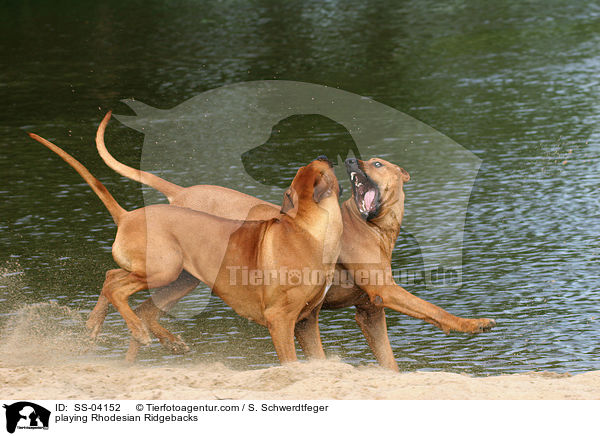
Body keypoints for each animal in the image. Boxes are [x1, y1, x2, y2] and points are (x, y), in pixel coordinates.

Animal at [28, 112, 344, 364]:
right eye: (320, 168)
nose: (324, 155)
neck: (308, 230)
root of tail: (128, 216)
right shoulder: (280, 320)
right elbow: (290, 362)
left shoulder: (306, 321)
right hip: (164, 270)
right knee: (115, 288)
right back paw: (137, 332)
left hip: (178, 277)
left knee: (121, 286)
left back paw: (139, 337)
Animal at [95, 123, 496, 372]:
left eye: (378, 162)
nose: (351, 159)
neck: (370, 226)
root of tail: (179, 193)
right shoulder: (386, 291)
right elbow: (434, 310)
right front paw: (473, 324)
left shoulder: (369, 311)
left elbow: (390, 362)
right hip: (171, 271)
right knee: (120, 286)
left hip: (182, 278)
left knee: (140, 307)